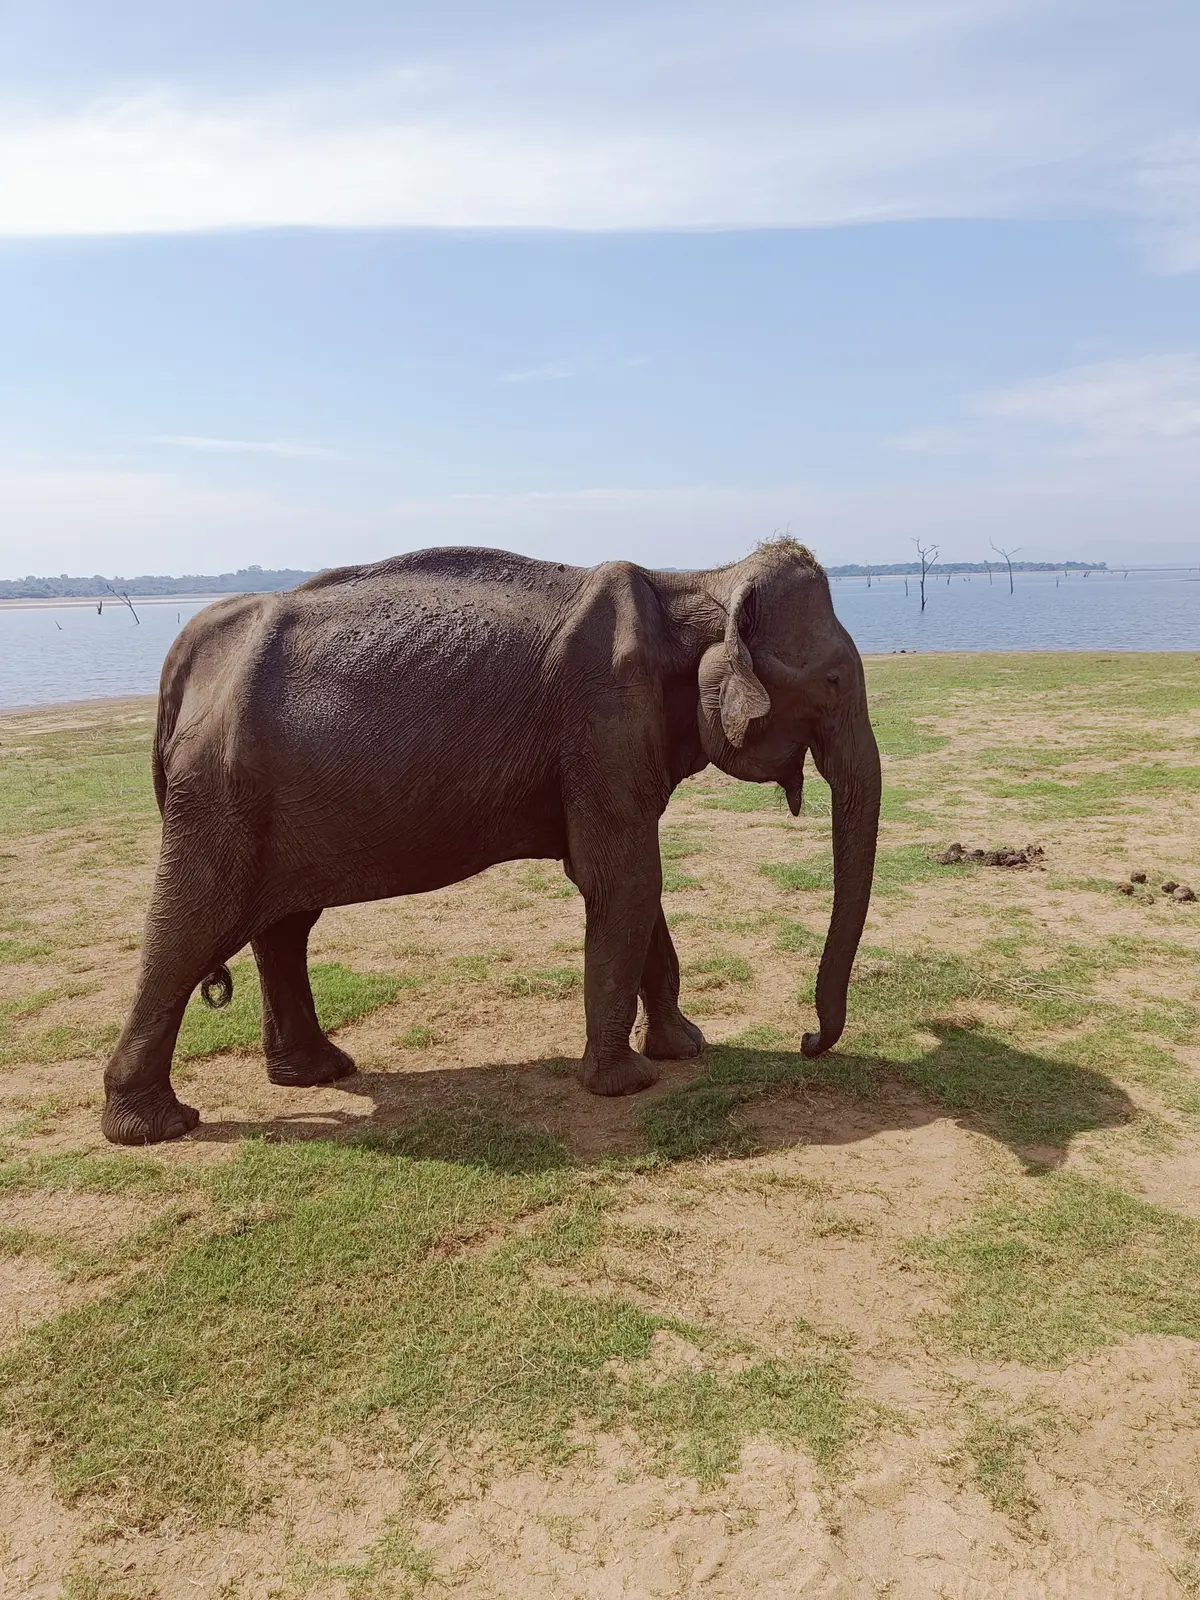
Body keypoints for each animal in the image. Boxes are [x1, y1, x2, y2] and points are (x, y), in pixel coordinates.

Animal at [101, 539, 881, 1145]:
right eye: (834, 679)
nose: (807, 1043)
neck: (694, 582)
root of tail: (190, 649)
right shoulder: (603, 721)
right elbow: (621, 878)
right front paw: (626, 1083)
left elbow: (632, 884)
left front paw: (684, 1048)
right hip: (217, 792)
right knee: (191, 925)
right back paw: (157, 1126)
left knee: (285, 927)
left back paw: (318, 1072)